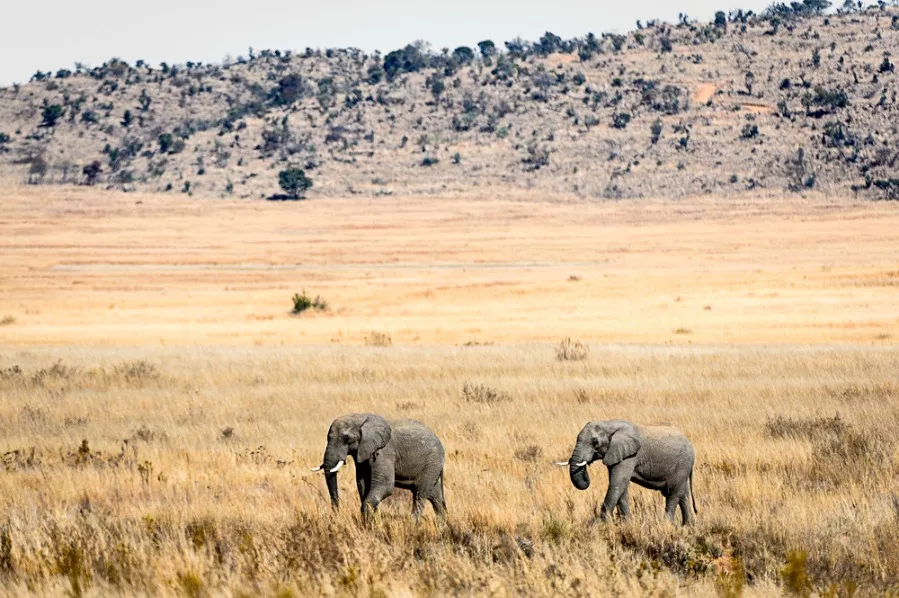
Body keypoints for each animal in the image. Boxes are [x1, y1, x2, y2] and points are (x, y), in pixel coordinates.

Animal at [312, 414, 448, 524]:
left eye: (347, 439)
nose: (336, 515)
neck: (360, 418)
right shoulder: (362, 454)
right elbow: (362, 484)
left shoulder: (384, 452)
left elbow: (385, 486)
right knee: (435, 497)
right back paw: (442, 529)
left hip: (432, 462)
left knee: (420, 495)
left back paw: (414, 527)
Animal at [560, 420, 700, 528]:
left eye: (595, 443)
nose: (586, 467)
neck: (608, 424)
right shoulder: (616, 455)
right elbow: (621, 487)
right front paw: (627, 524)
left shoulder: (630, 455)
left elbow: (618, 483)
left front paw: (603, 525)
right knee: (684, 494)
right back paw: (688, 526)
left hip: (682, 465)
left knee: (673, 493)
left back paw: (667, 525)